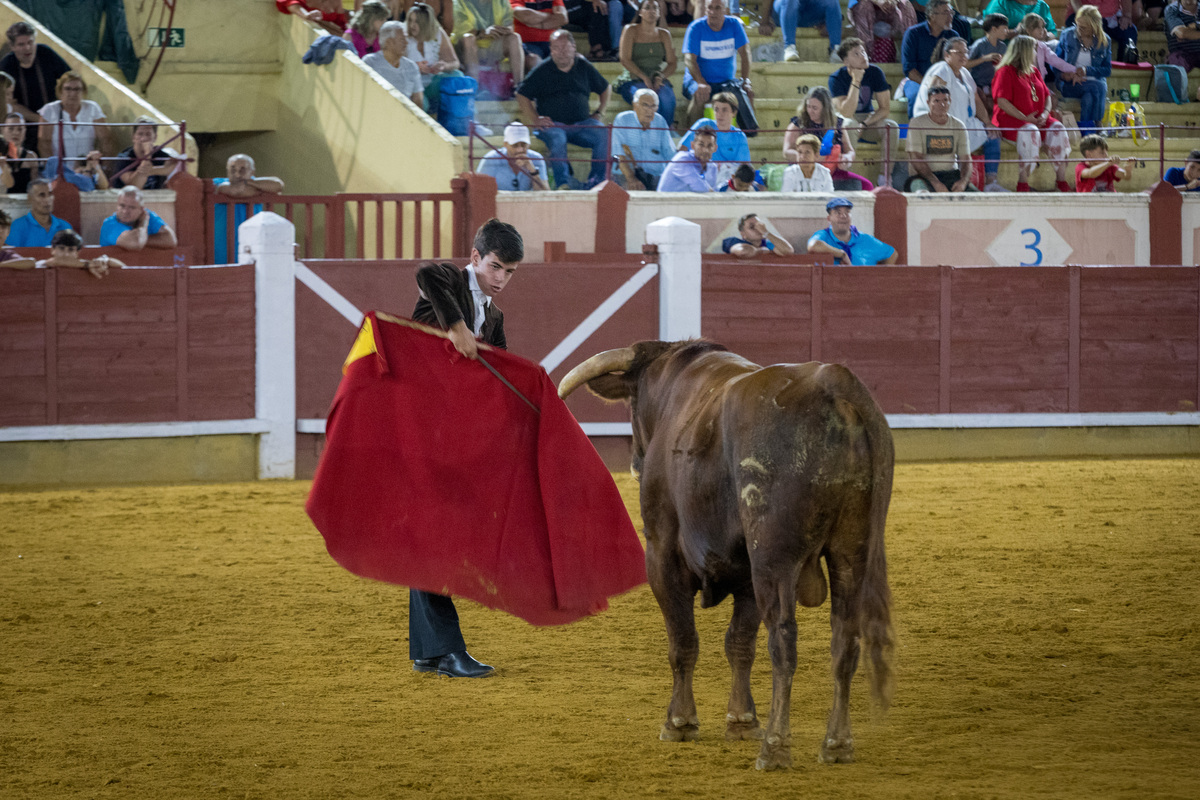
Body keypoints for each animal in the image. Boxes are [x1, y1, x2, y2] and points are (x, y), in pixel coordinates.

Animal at [559, 338, 892, 767]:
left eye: (633, 401)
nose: (635, 462)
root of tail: (834, 387)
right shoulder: (745, 572)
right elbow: (740, 643)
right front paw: (741, 720)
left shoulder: (662, 553)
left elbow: (683, 640)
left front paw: (680, 722)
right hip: (852, 551)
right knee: (845, 641)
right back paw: (836, 743)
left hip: (773, 558)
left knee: (783, 641)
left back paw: (776, 746)